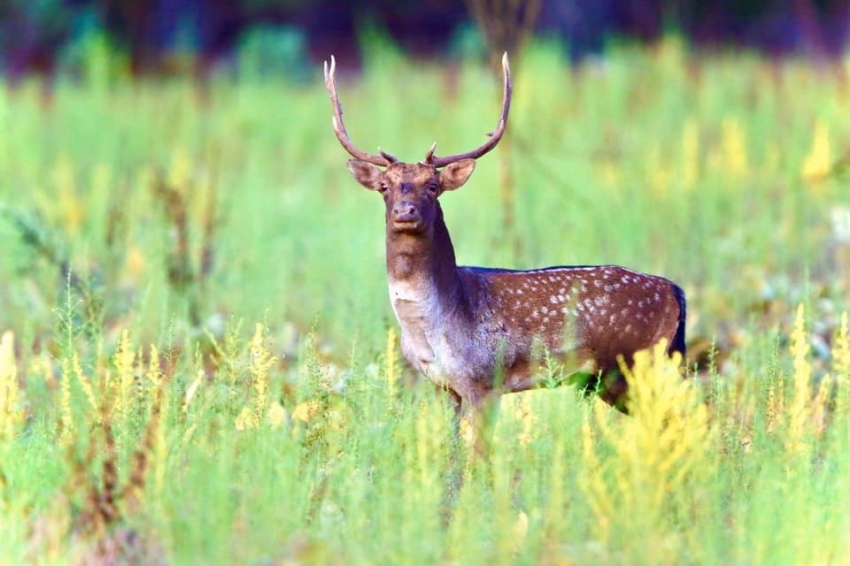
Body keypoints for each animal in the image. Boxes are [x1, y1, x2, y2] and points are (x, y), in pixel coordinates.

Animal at [322, 52, 684, 444]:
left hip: (630, 363)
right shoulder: (442, 387)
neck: (433, 327)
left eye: (432, 185)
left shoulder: (484, 379)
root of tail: (675, 292)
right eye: (385, 187)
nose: (406, 211)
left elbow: (478, 453)